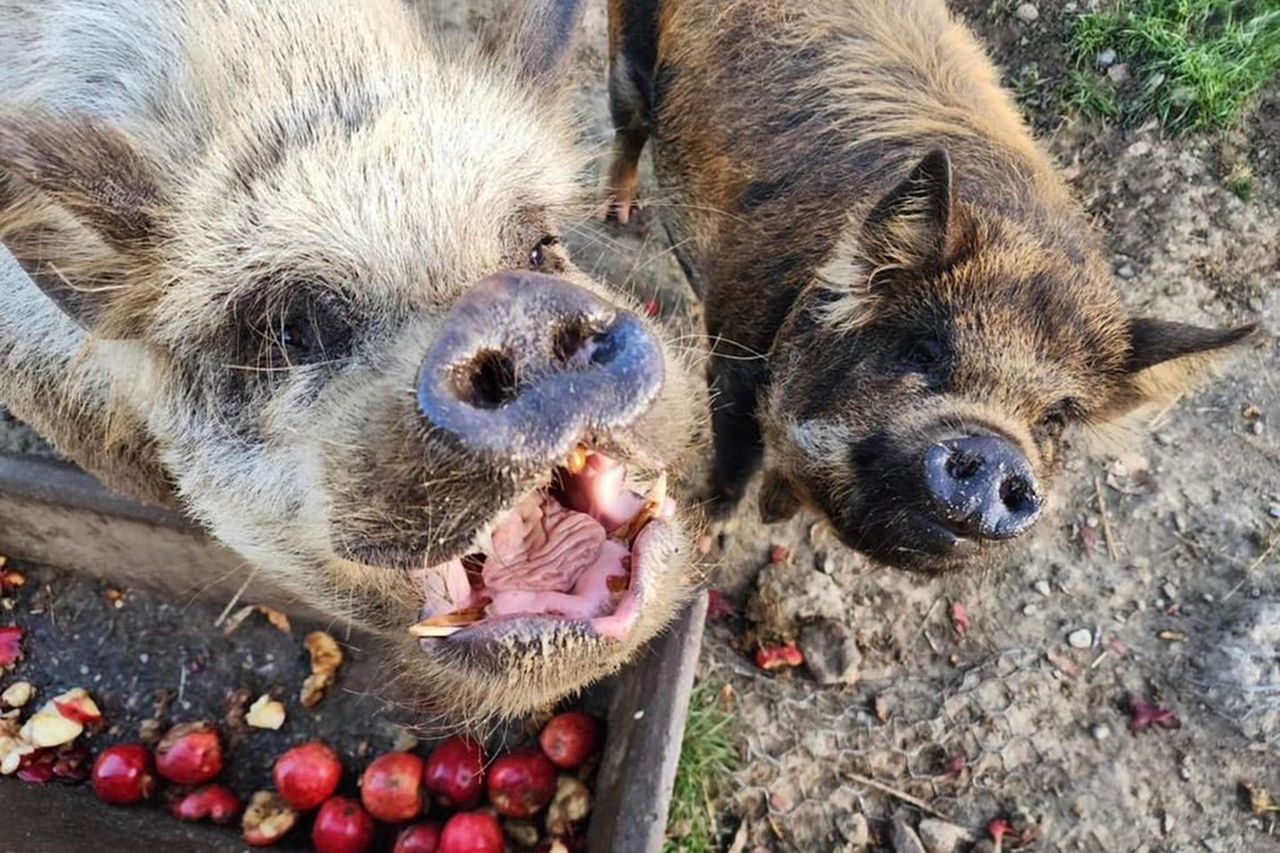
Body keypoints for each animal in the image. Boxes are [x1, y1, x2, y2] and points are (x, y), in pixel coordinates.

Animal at [606, 0, 1257, 572]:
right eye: (922, 348)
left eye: (1054, 420)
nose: (996, 453)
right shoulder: (735, 358)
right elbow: (734, 461)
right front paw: (711, 539)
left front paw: (776, 511)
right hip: (626, 53)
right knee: (629, 122)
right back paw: (619, 217)